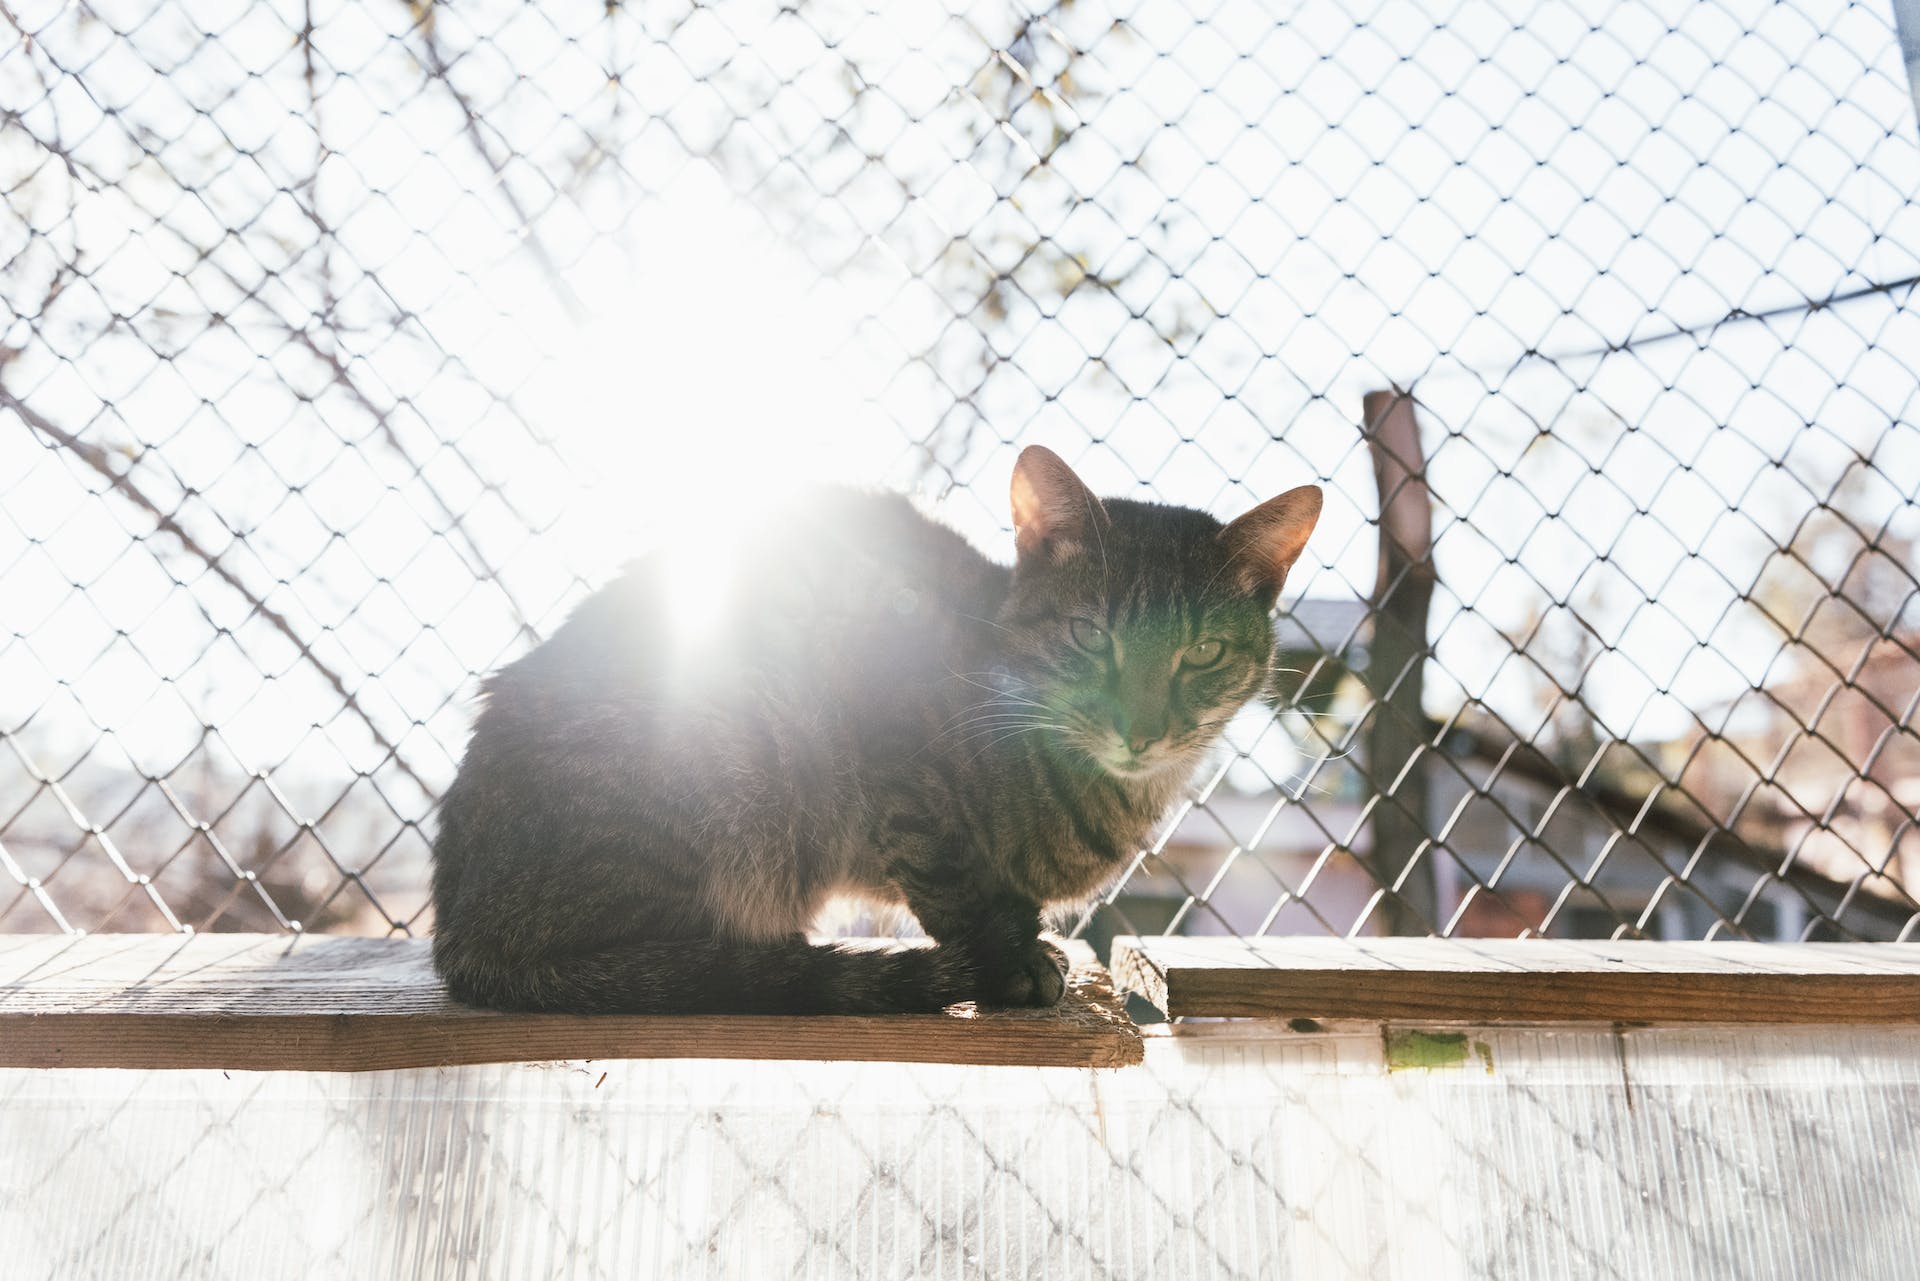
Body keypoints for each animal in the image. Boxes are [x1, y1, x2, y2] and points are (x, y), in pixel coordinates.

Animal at [430, 445, 1320, 1014]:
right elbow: (954, 881)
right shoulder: (894, 747)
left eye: (1202, 651)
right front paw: (1008, 964)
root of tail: (457, 930)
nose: (1142, 729)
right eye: (1089, 635)